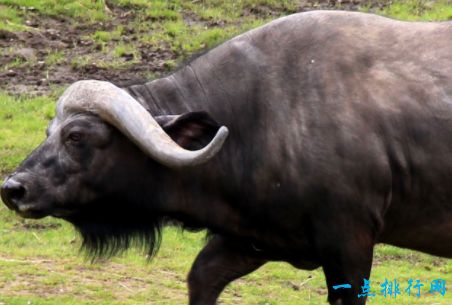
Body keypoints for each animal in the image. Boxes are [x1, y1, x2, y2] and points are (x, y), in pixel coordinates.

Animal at [0, 10, 452, 304]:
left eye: (76, 136)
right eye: (50, 132)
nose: (13, 189)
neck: (263, 115)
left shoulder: (349, 246)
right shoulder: (252, 239)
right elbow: (201, 278)